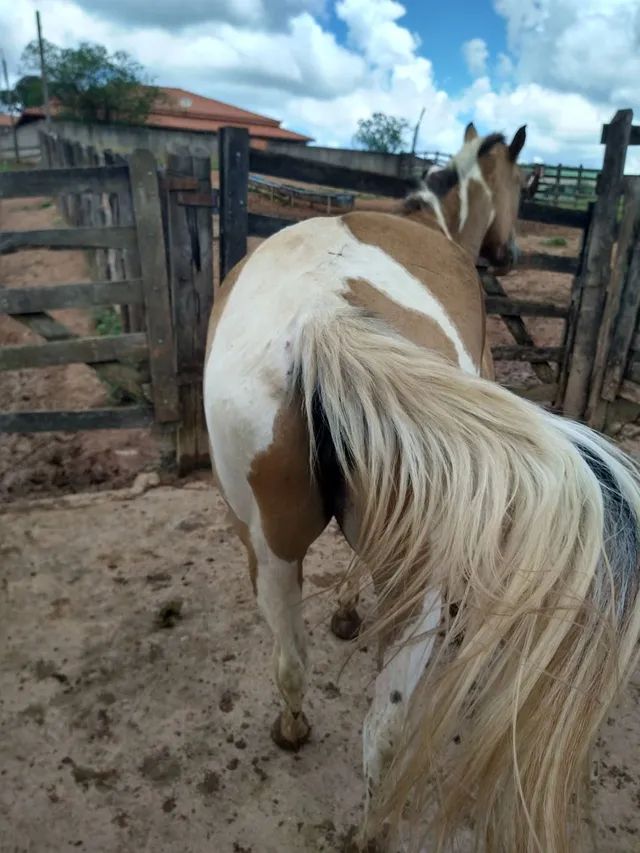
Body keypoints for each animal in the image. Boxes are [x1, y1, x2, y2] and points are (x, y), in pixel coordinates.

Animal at [204, 126, 640, 852]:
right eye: (522, 181)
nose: (510, 253)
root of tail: (323, 317)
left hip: (266, 549)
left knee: (291, 661)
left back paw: (292, 729)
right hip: (418, 578)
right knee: (385, 732)